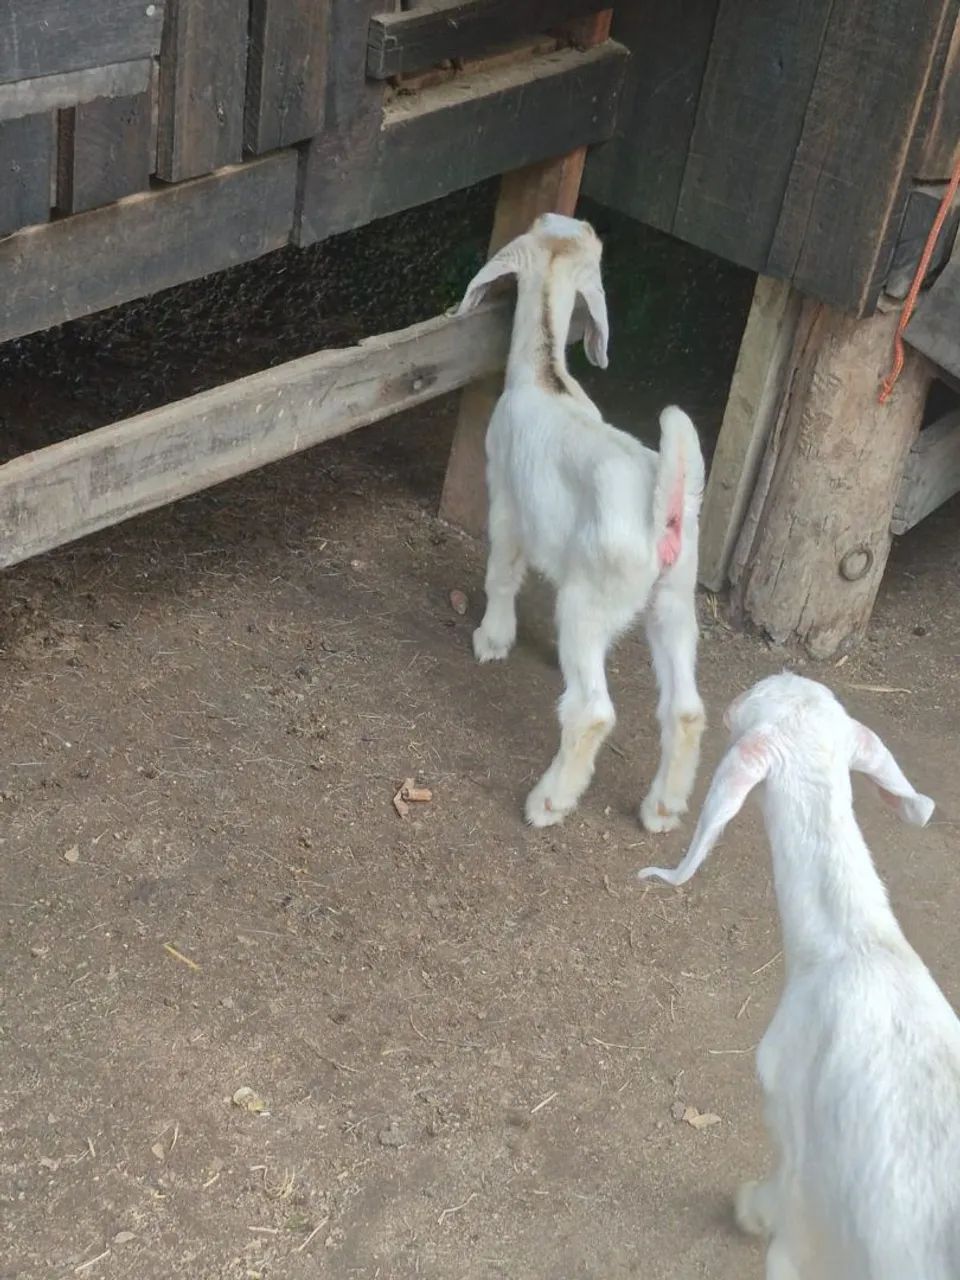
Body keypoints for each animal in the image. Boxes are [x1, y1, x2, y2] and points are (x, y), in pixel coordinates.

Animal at [456, 213, 706, 831]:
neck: (547, 376)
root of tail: (662, 507)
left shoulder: (505, 496)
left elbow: (502, 571)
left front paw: (493, 639)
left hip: (592, 601)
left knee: (592, 712)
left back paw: (548, 802)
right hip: (674, 599)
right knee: (686, 709)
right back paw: (662, 809)